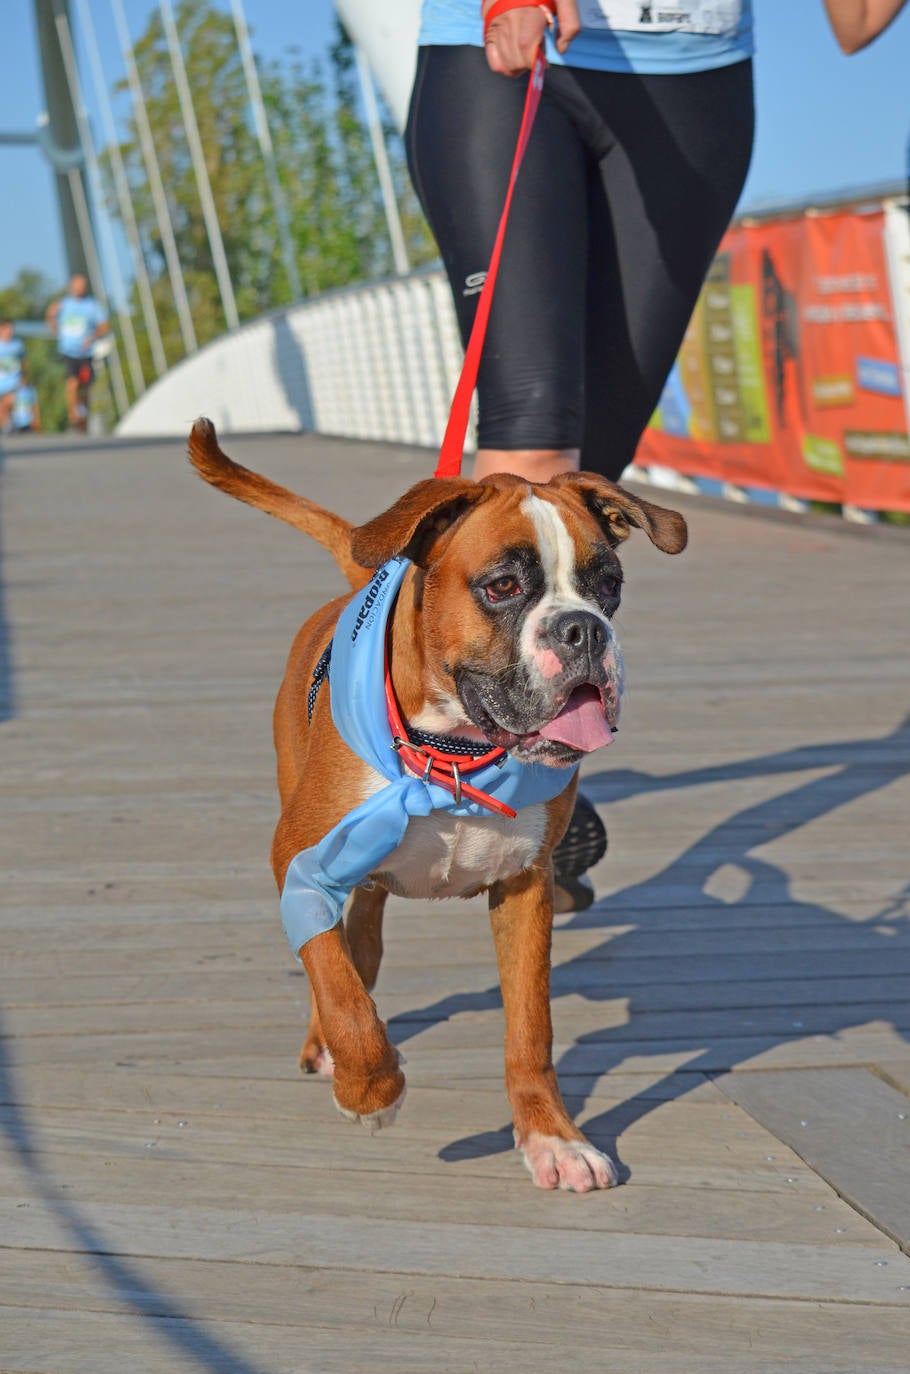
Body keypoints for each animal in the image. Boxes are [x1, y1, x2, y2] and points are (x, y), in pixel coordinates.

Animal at [188, 420, 687, 1192]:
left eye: (609, 586)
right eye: (503, 586)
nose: (585, 630)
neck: (452, 754)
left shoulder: (525, 888)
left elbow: (530, 1029)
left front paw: (552, 1138)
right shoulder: (297, 862)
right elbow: (337, 987)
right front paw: (370, 1089)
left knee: (363, 944)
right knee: (338, 961)